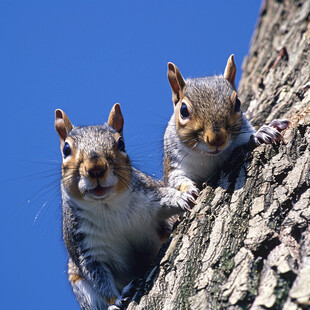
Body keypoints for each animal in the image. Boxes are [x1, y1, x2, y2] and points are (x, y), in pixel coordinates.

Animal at [54, 104, 195, 310]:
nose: (96, 168)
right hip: (78, 282)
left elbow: (166, 199)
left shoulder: (149, 194)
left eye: (121, 144)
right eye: (66, 149)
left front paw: (182, 197)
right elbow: (99, 280)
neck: (108, 206)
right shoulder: (85, 250)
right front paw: (117, 299)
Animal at [163, 54, 290, 193]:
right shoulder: (174, 161)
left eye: (238, 103)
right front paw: (187, 190)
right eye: (184, 110)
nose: (217, 140)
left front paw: (261, 133)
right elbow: (176, 179)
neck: (208, 157)